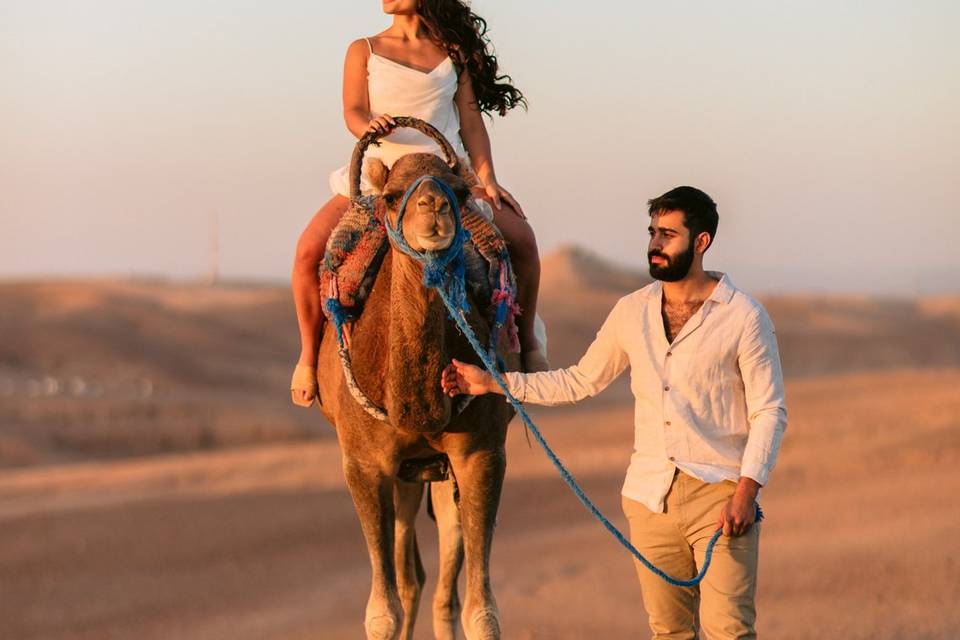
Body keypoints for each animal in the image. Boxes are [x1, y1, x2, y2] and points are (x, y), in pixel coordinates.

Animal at [316, 121, 516, 640]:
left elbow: (483, 612)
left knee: (443, 586)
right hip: (406, 474)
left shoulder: (481, 453)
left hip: (438, 473)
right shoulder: (364, 464)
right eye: (390, 196)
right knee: (410, 579)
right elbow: (382, 613)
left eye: (461, 192)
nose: (434, 207)